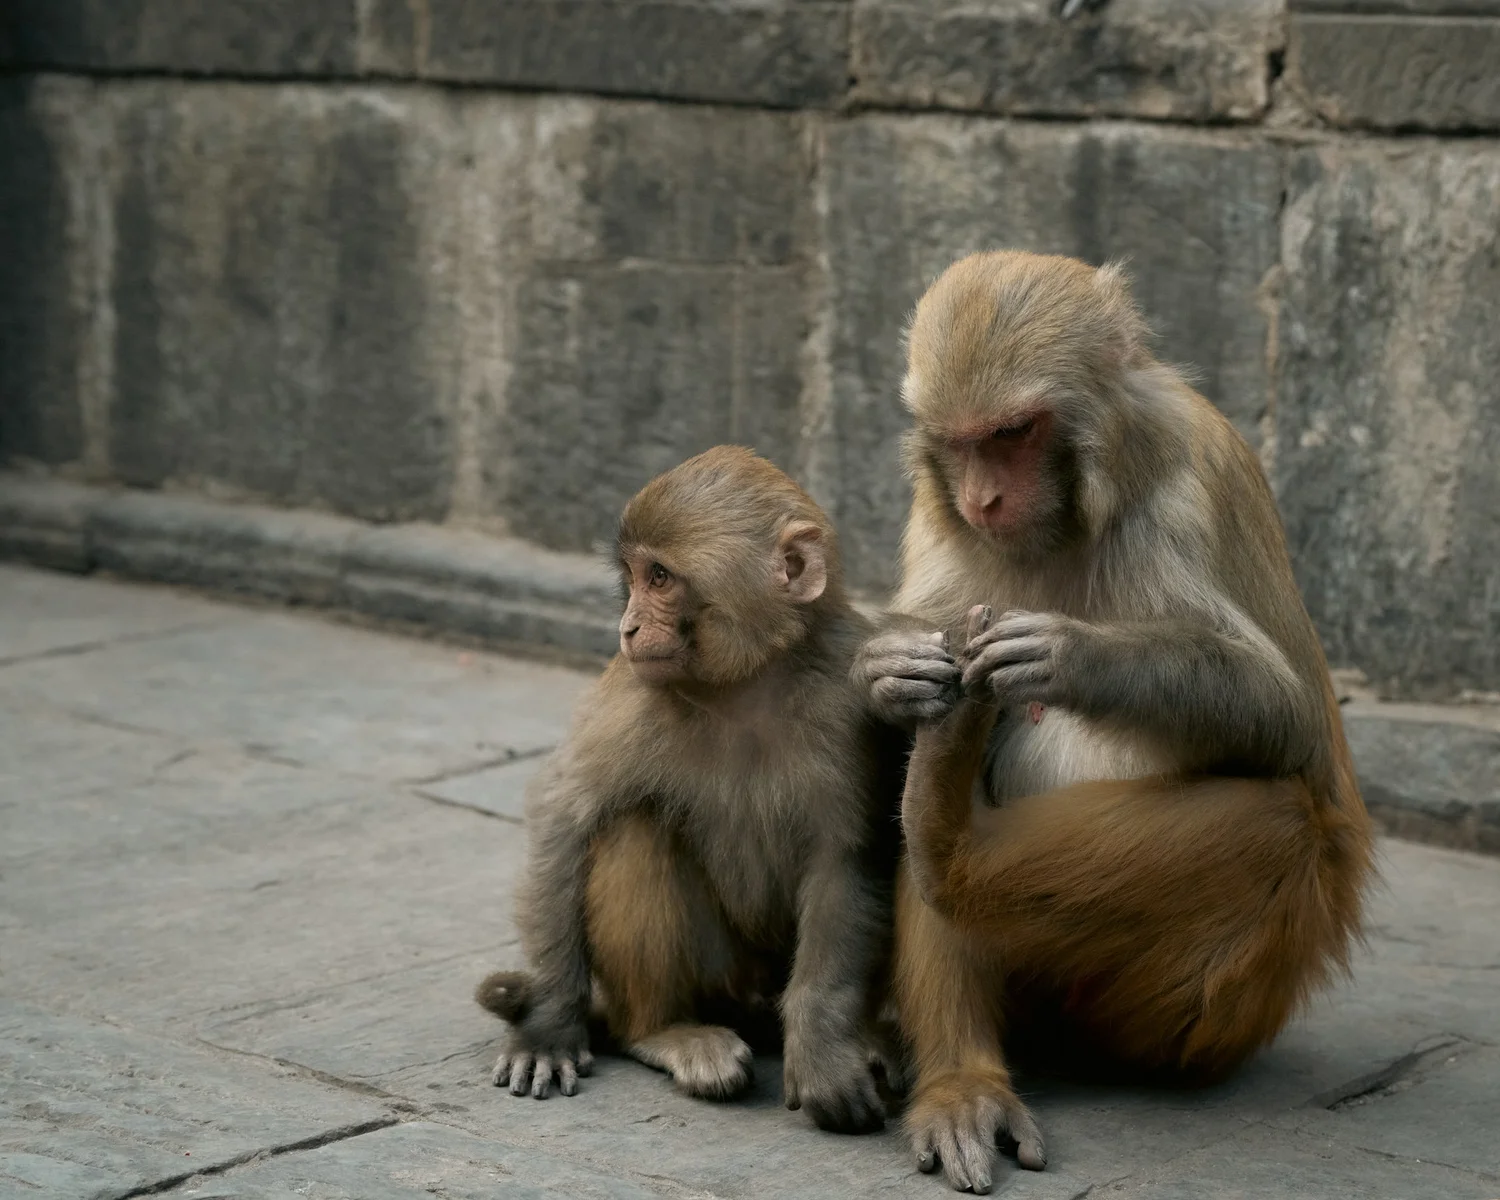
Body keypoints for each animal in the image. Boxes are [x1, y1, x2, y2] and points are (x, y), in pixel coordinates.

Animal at [475, 445, 902, 1135]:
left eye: (659, 577)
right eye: (633, 575)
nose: (626, 628)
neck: (747, 682)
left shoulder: (847, 698)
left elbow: (847, 858)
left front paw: (824, 1054)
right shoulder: (632, 695)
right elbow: (564, 814)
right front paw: (547, 1024)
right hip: (720, 978)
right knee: (637, 827)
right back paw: (665, 1031)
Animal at [853, 251, 1375, 1193]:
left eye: (1014, 432)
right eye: (961, 440)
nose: (982, 500)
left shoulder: (1184, 493)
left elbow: (1284, 716)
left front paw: (1074, 655)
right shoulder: (933, 508)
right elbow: (917, 650)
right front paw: (886, 667)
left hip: (1199, 1008)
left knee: (1282, 827)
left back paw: (948, 838)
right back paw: (963, 1082)